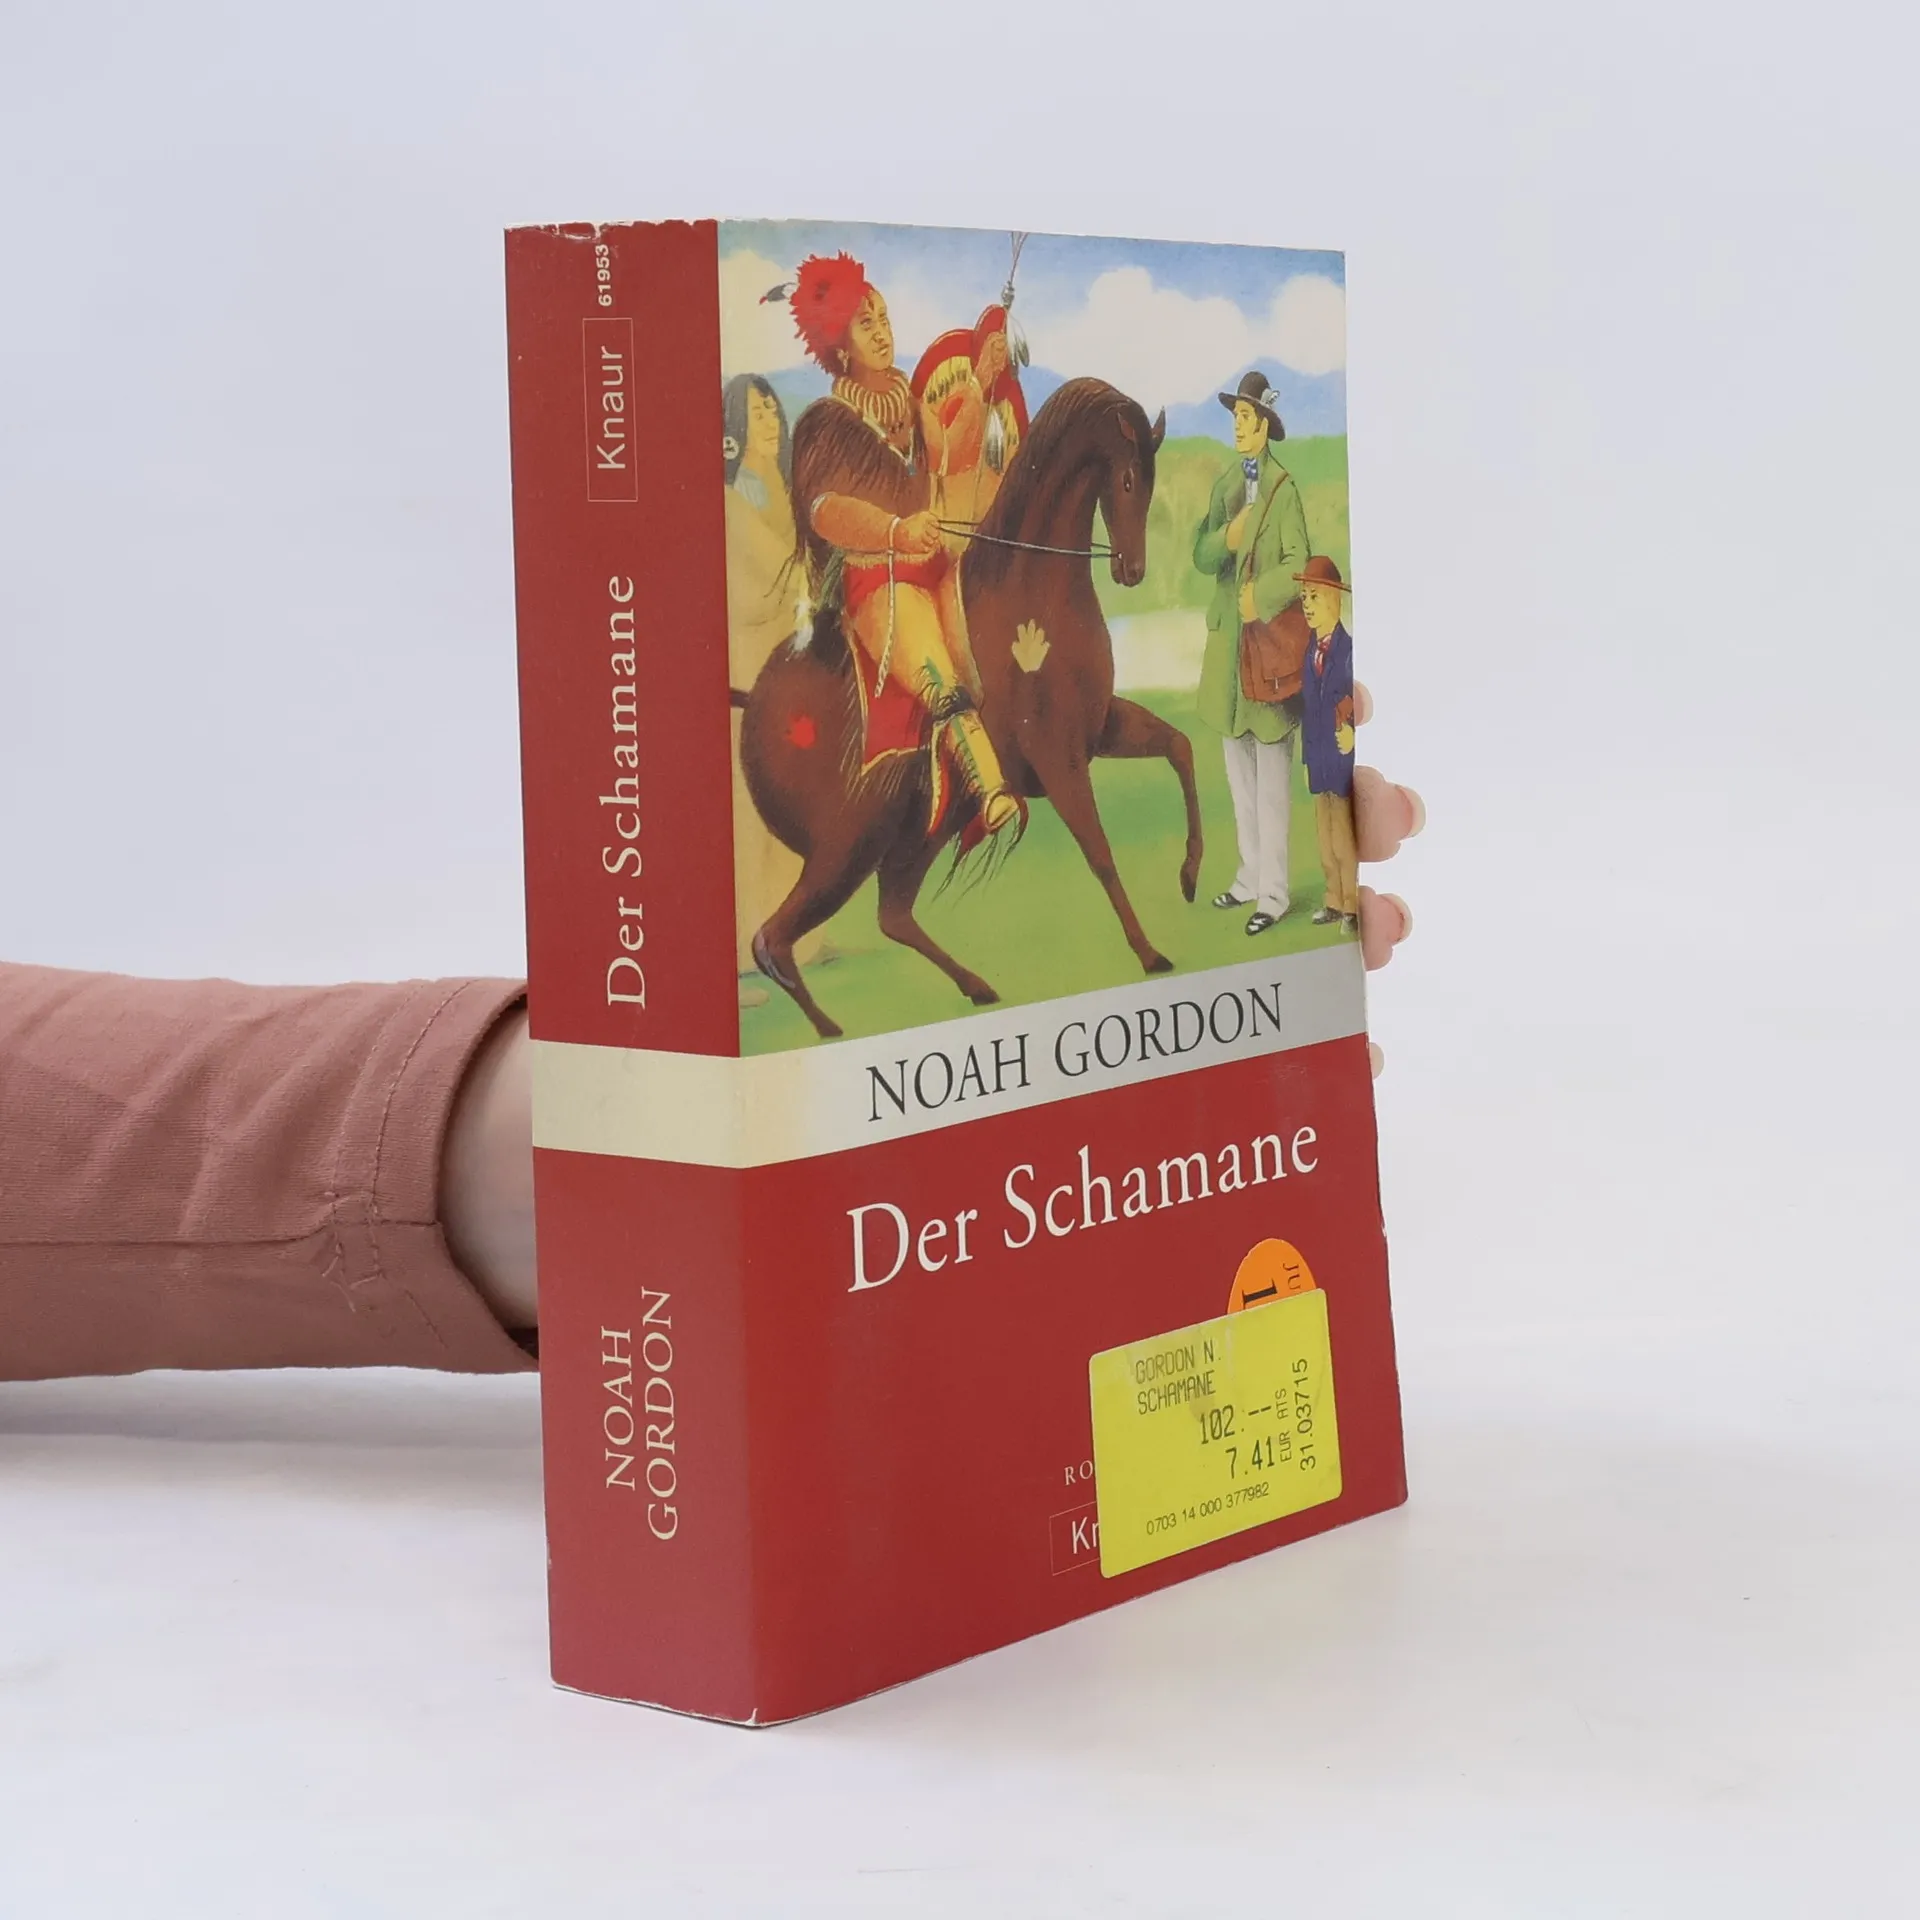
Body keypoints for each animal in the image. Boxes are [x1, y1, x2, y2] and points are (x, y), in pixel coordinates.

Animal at [735, 376, 1204, 1041]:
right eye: (1129, 480)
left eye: (1152, 477)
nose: (1132, 570)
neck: (1029, 592)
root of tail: (755, 702)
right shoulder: (1058, 758)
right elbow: (1100, 852)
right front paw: (1150, 953)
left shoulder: (1099, 727)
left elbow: (1180, 748)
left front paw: (1189, 875)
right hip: (843, 852)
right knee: (772, 939)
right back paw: (830, 1029)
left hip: (915, 834)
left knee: (892, 915)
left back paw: (977, 987)